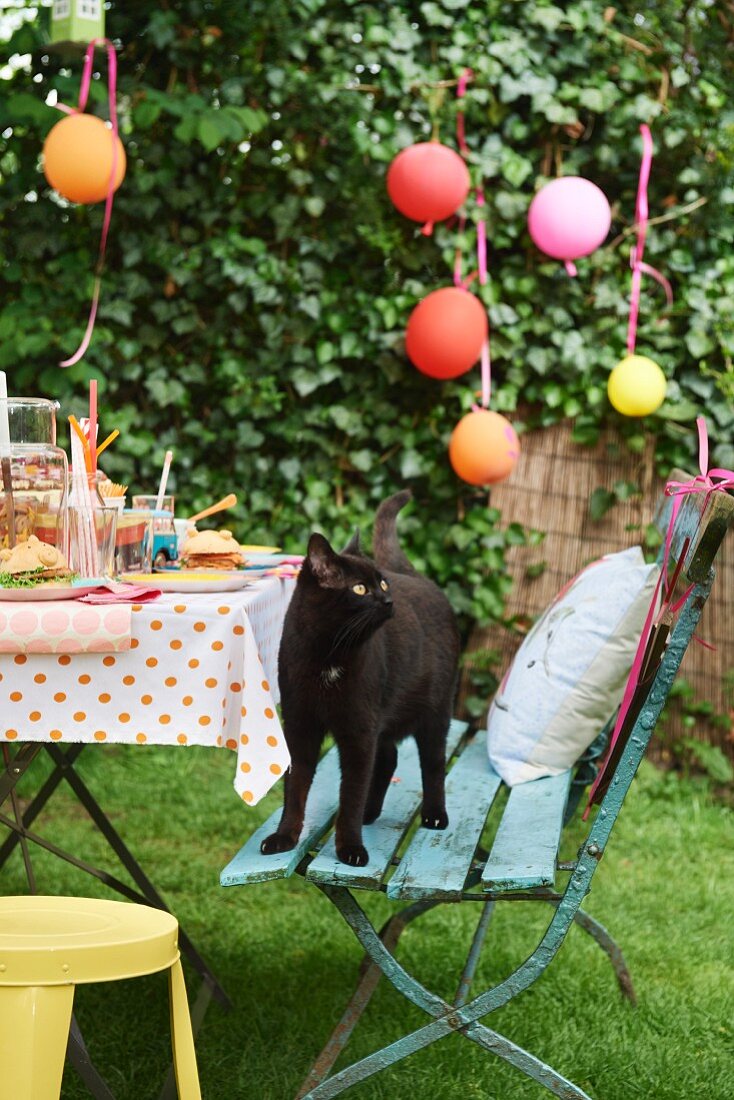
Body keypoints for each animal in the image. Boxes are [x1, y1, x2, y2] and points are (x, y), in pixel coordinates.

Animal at [263, 492, 459, 866]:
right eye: (359, 588)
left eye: (381, 583)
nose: (388, 599)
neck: (328, 654)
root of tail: (417, 576)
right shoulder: (300, 725)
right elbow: (295, 787)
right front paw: (284, 837)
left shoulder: (358, 730)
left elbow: (351, 791)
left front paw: (350, 847)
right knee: (388, 759)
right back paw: (371, 812)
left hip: (434, 713)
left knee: (433, 763)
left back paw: (435, 815)